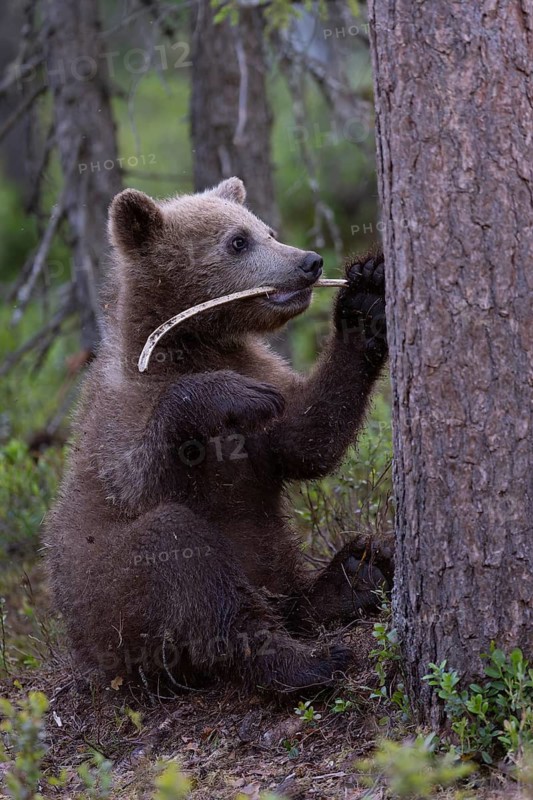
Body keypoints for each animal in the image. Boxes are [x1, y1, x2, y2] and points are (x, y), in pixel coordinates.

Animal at [45, 177, 391, 695]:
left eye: (267, 231)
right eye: (238, 242)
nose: (309, 261)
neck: (194, 341)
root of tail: (90, 661)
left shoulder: (258, 382)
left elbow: (307, 436)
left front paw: (366, 296)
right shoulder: (122, 411)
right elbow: (139, 479)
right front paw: (227, 394)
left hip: (266, 558)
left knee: (285, 592)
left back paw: (356, 574)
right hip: (112, 606)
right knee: (186, 563)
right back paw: (307, 661)